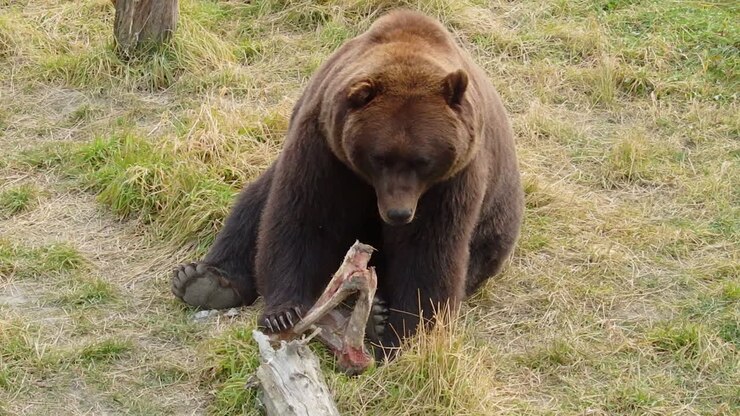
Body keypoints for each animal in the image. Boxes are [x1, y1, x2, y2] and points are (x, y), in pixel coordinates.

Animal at [171, 9, 524, 358]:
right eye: (379, 158)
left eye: (423, 160)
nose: (397, 214)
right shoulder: (326, 148)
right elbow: (305, 217)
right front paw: (283, 311)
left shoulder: (451, 179)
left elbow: (429, 249)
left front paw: (401, 335)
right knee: (253, 207)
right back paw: (203, 282)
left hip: (494, 228)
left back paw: (377, 316)